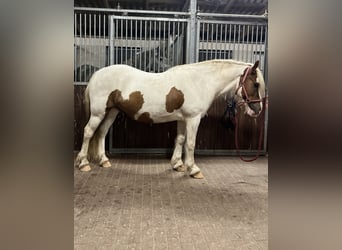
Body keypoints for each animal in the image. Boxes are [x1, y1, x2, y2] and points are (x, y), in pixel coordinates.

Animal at [76, 59, 266, 179]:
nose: (257, 110)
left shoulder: (183, 119)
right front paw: (193, 169)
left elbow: (180, 140)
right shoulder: (193, 119)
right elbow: (190, 144)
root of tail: (96, 74)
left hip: (111, 111)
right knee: (88, 132)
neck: (199, 82)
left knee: (101, 133)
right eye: (256, 84)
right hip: (98, 113)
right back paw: (83, 163)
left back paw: (104, 161)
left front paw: (177, 164)